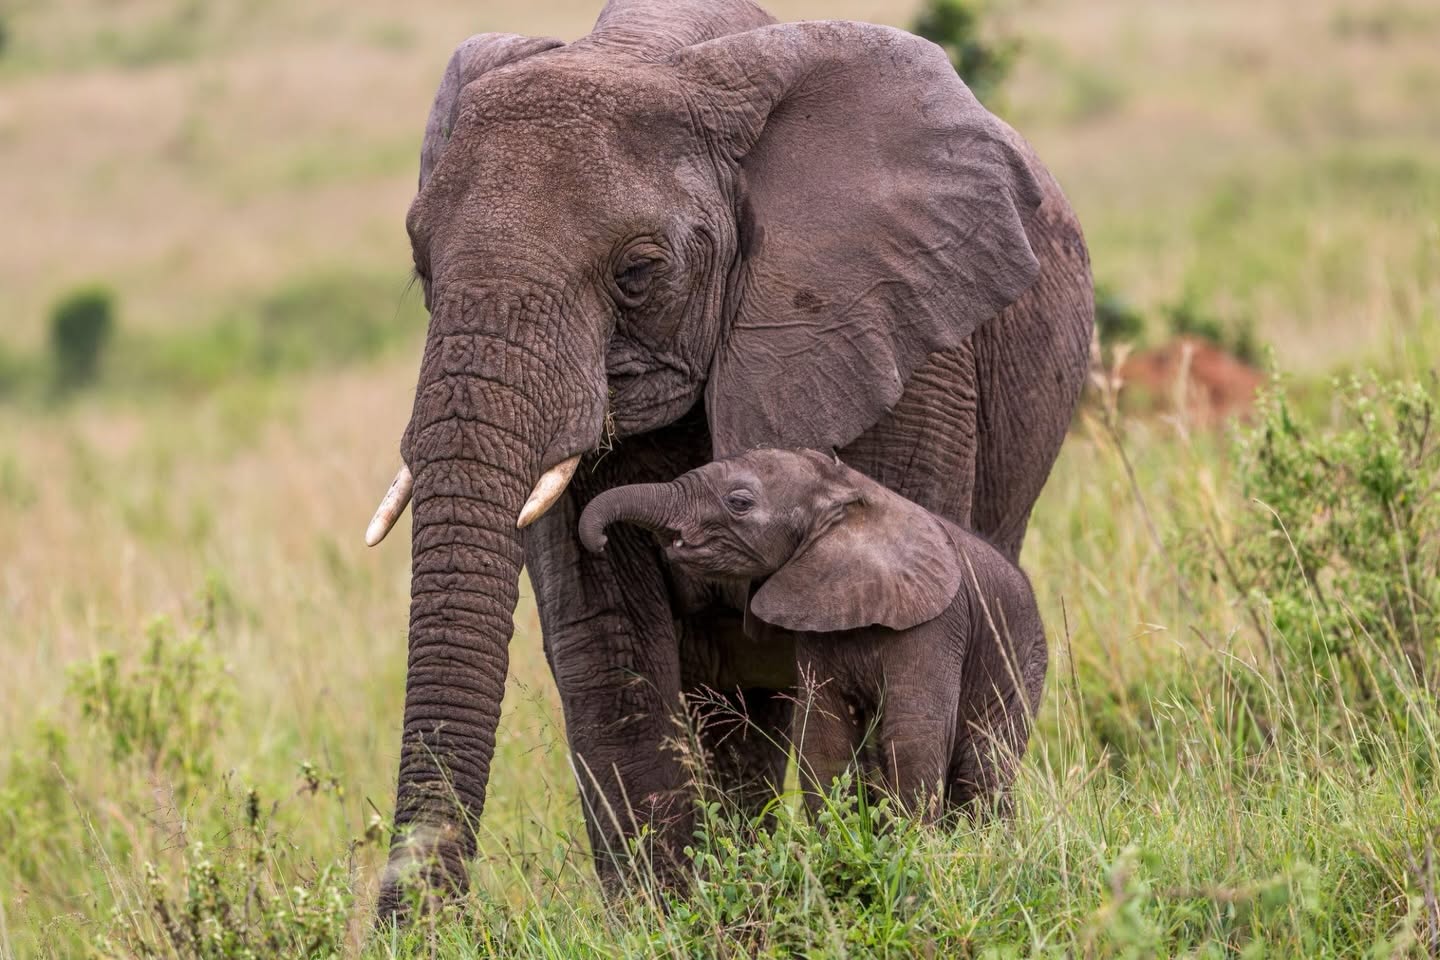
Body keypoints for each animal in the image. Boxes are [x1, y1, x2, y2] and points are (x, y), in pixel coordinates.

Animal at [578, 448, 1047, 818]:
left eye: (739, 502)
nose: (598, 542)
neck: (844, 495)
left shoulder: (935, 626)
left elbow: (913, 732)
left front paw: (914, 845)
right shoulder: (818, 615)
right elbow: (824, 735)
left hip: (1024, 666)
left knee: (983, 768)